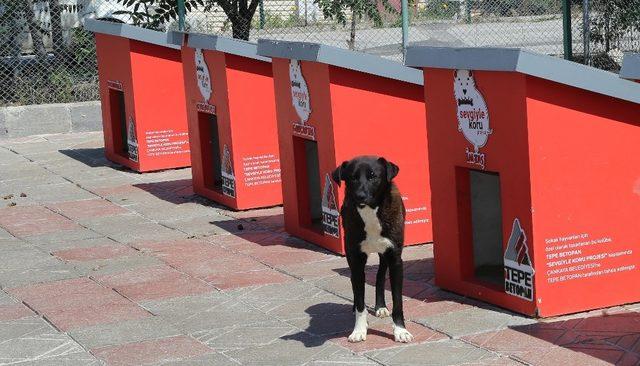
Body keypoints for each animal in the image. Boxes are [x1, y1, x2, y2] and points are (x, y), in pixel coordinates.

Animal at [332, 157, 412, 344]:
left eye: (373, 176)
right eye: (353, 178)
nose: (360, 196)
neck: (370, 211)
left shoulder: (395, 259)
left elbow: (398, 301)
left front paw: (400, 330)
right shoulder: (356, 258)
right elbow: (360, 301)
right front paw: (359, 330)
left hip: (384, 255)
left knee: (380, 275)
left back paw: (381, 306)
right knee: (355, 283)